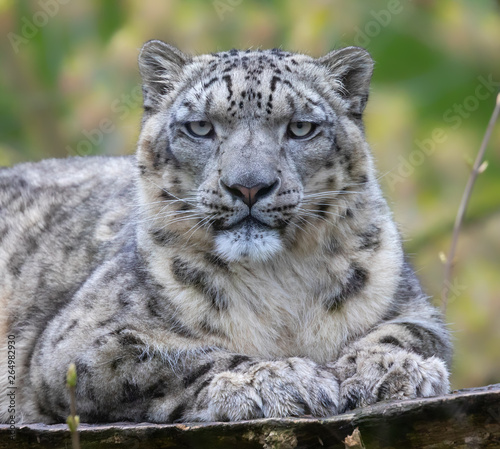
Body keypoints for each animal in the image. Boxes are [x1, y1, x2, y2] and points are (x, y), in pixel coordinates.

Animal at [0, 40, 454, 422]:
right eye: (201, 127)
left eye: (300, 127)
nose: (249, 185)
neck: (280, 280)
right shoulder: (83, 341)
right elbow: (178, 355)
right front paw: (278, 379)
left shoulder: (412, 304)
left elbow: (408, 333)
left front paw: (389, 369)